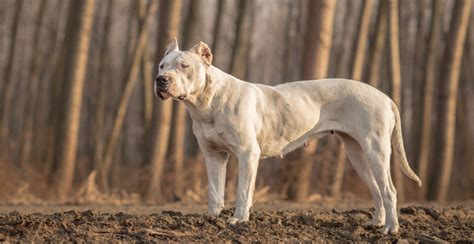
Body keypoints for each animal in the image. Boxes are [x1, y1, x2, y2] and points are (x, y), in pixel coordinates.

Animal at [156, 38, 422, 234]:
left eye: (184, 66)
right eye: (161, 65)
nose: (161, 80)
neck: (207, 102)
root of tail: (385, 97)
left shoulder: (247, 154)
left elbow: (243, 191)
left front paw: (238, 220)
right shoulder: (213, 155)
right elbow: (214, 190)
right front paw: (211, 218)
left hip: (376, 150)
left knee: (389, 190)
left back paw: (391, 229)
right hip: (357, 154)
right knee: (376, 189)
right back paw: (377, 222)